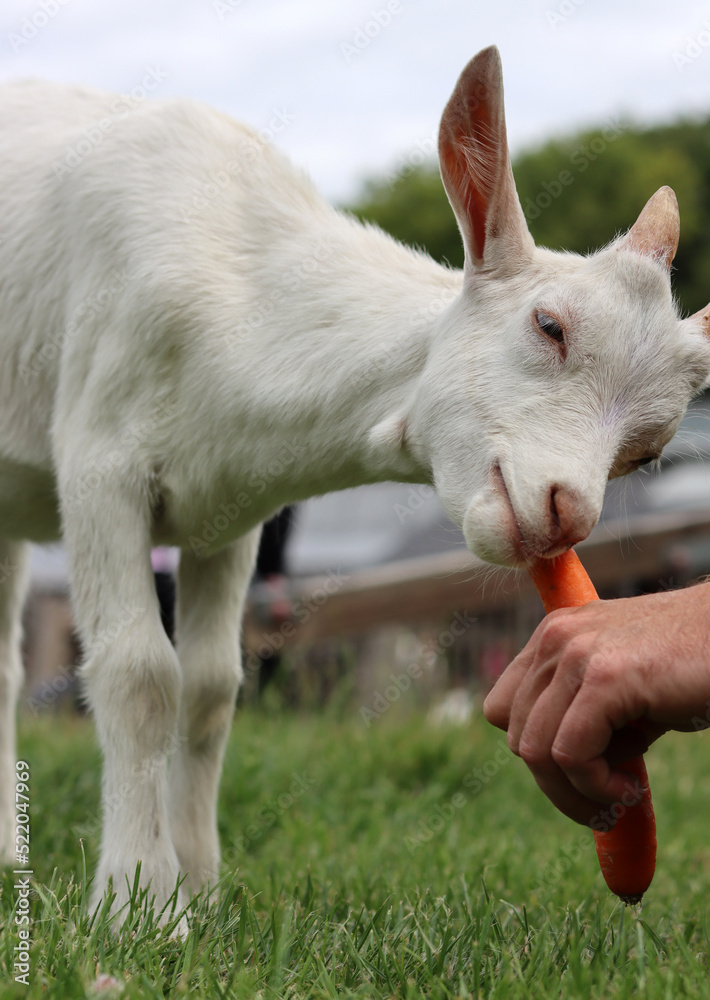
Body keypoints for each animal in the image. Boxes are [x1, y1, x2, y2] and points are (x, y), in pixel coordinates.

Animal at [0, 45, 709, 926]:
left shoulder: (225, 513)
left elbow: (210, 688)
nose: (566, 511)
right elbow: (139, 675)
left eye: (646, 452)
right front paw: (139, 907)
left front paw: (200, 891)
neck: (237, 300)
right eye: (549, 325)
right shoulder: (100, 462)